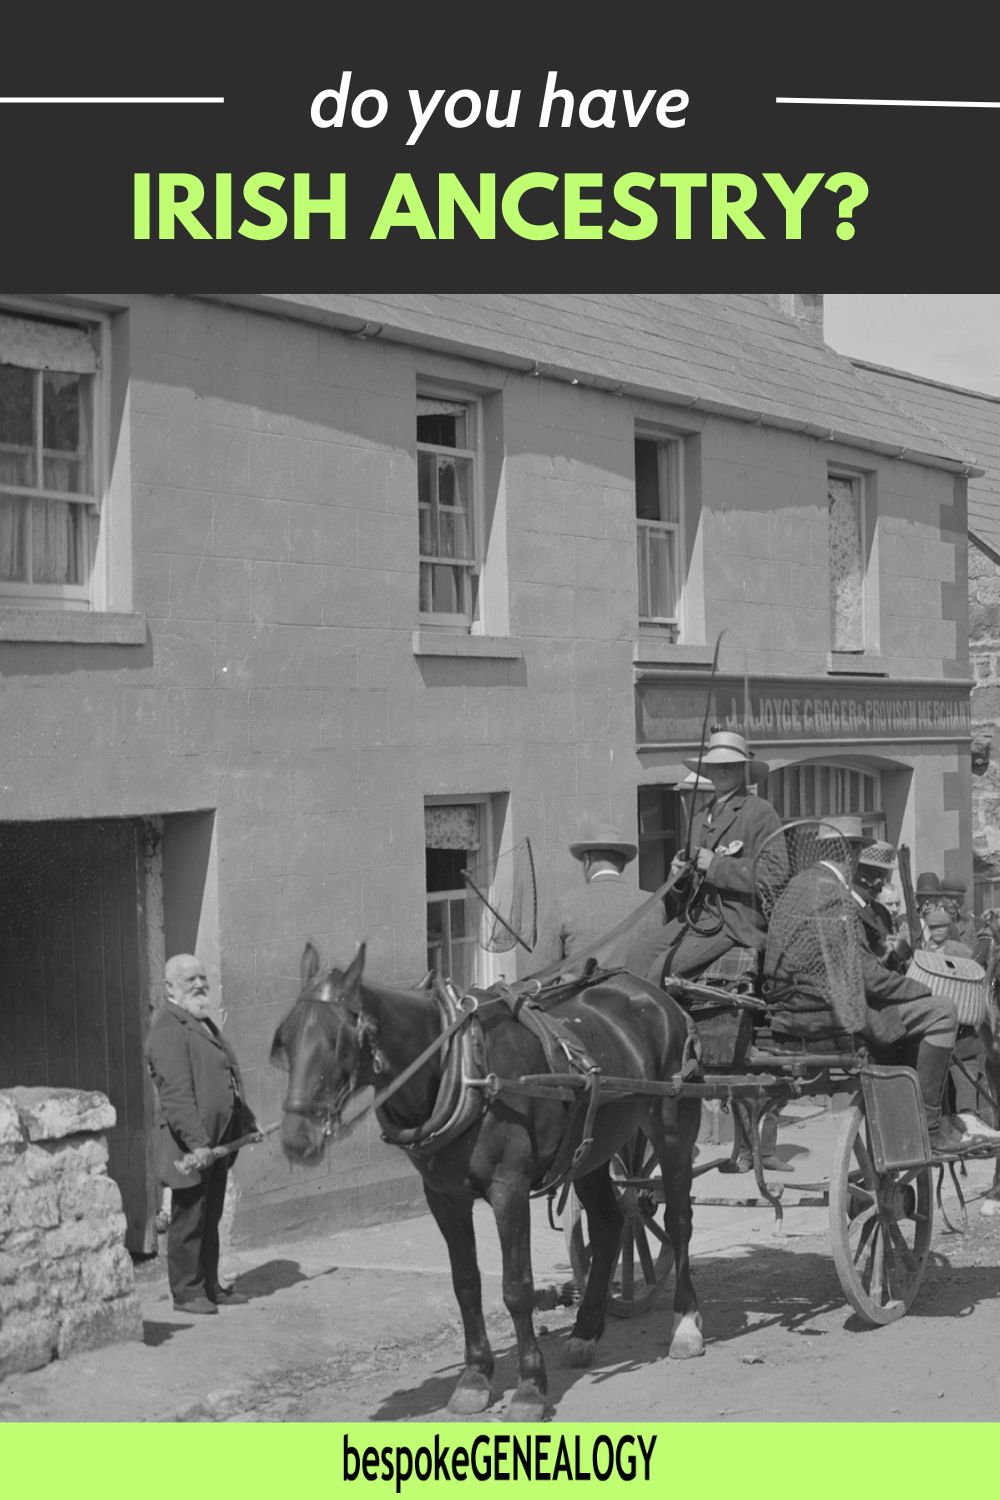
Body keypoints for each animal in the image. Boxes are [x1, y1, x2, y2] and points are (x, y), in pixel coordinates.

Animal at [269, 942, 701, 1422]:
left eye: (338, 1040)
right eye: (285, 1039)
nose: (297, 1138)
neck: (459, 1067)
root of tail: (654, 993)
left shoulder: (508, 1188)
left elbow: (517, 1289)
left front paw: (530, 1389)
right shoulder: (443, 1197)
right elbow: (466, 1284)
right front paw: (475, 1378)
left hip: (672, 1126)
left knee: (679, 1220)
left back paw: (685, 1324)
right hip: (592, 1148)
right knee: (609, 1224)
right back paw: (586, 1332)